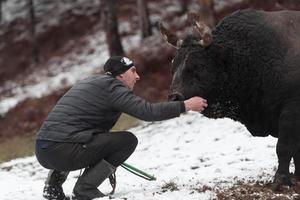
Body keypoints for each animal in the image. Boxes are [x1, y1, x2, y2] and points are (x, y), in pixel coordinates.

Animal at [161, 9, 300, 190]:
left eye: (197, 65)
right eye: (173, 67)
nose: (174, 96)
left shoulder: (291, 110)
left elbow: (284, 147)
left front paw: (281, 180)